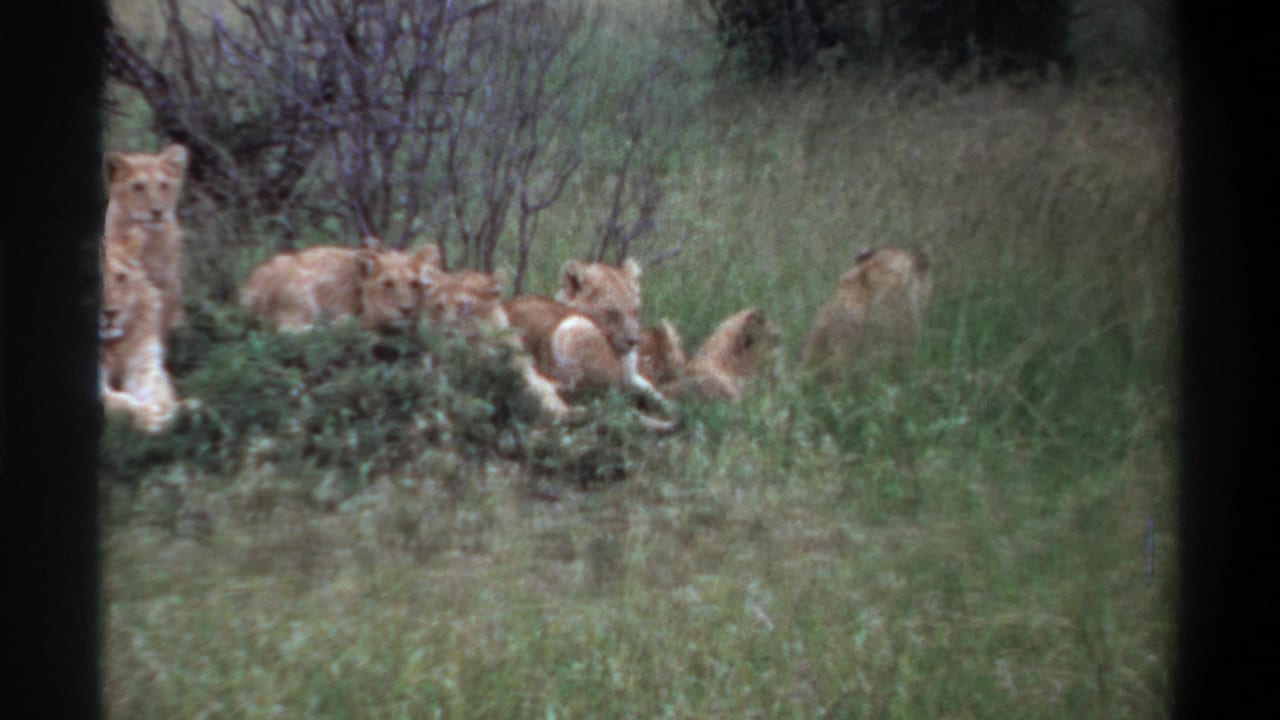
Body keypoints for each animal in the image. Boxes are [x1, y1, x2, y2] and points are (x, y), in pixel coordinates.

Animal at [99, 228, 182, 433]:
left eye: (121, 277)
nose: (111, 313)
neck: (115, 345)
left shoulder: (143, 362)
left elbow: (155, 388)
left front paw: (168, 408)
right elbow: (119, 402)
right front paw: (151, 418)